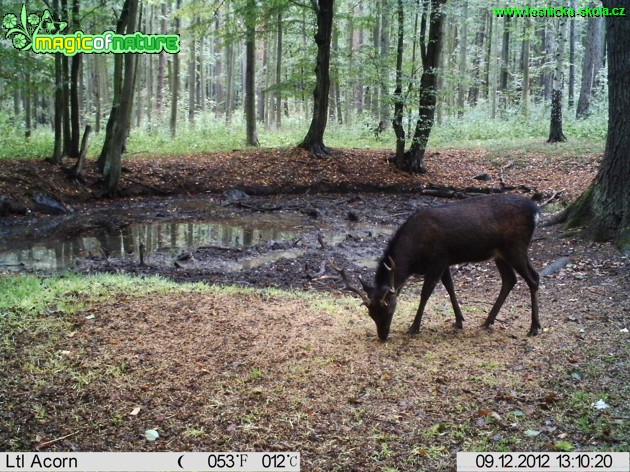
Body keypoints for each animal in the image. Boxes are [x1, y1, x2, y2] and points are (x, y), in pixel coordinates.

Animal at [334, 194, 544, 342]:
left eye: (387, 309)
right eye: (370, 314)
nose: (383, 336)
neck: (414, 256)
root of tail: (536, 211)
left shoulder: (437, 259)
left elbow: (426, 293)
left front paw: (414, 327)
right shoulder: (444, 261)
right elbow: (450, 287)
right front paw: (459, 321)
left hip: (515, 247)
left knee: (534, 278)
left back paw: (534, 327)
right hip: (500, 254)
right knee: (510, 279)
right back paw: (487, 321)